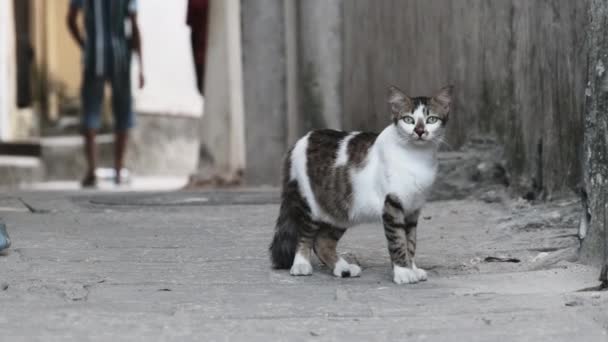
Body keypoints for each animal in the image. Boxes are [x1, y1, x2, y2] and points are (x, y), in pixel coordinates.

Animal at [270, 85, 452, 284]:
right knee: (305, 234)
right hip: (310, 203)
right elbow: (398, 241)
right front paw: (403, 272)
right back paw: (301, 264)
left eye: (431, 119)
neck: (417, 157)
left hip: (340, 208)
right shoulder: (392, 205)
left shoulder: (413, 209)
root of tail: (302, 139)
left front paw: (412, 268)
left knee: (322, 241)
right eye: (408, 119)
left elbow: (410, 241)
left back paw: (343, 268)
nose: (419, 131)